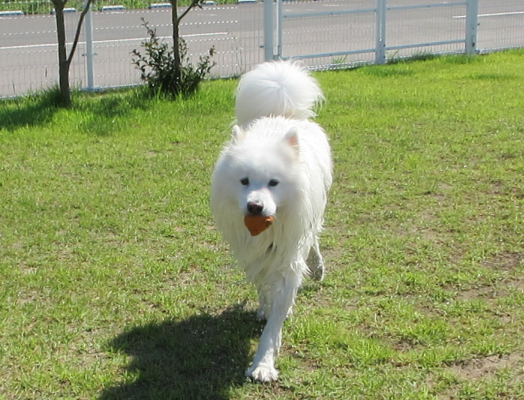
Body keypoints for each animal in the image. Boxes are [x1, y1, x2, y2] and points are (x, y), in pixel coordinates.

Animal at [210, 60, 332, 382]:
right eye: (244, 181)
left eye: (274, 183)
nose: (255, 206)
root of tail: (282, 114)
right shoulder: (256, 253)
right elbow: (264, 288)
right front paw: (265, 308)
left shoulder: (288, 257)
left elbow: (275, 322)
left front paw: (263, 363)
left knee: (313, 239)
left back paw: (317, 268)